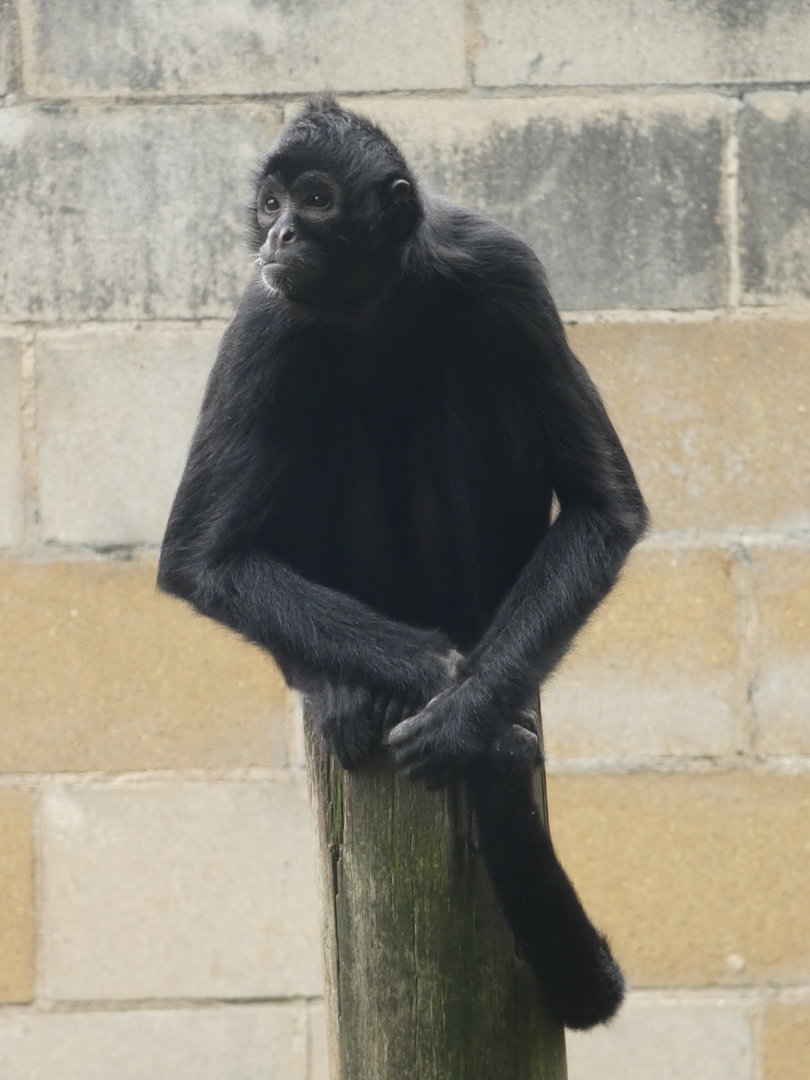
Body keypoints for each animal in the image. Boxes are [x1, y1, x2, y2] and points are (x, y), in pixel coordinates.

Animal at [158, 94, 649, 1031]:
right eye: (270, 205)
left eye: (315, 200)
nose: (279, 235)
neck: (376, 300)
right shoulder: (264, 313)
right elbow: (198, 560)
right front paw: (436, 681)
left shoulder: (505, 267)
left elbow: (606, 511)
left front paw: (464, 714)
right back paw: (346, 687)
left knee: (472, 372)